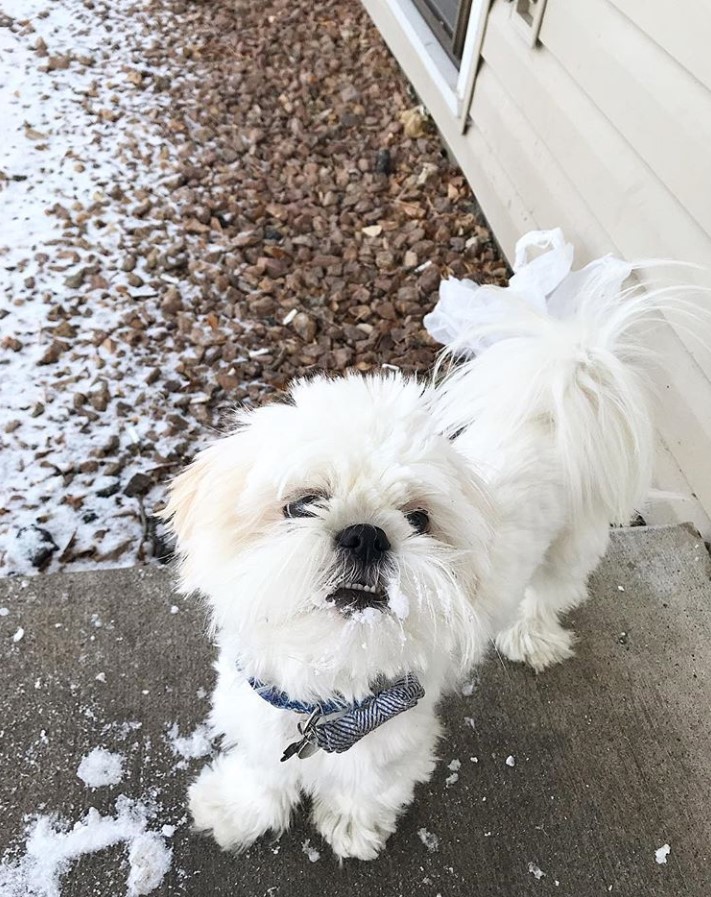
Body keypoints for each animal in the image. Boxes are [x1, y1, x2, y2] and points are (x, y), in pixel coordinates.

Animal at [161, 272, 660, 856]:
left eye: (418, 518)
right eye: (303, 503)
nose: (366, 535)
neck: (325, 685)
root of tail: (550, 408)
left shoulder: (393, 739)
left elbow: (367, 785)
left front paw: (352, 825)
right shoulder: (260, 714)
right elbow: (264, 772)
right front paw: (239, 810)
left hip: (569, 550)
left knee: (548, 596)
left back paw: (532, 637)